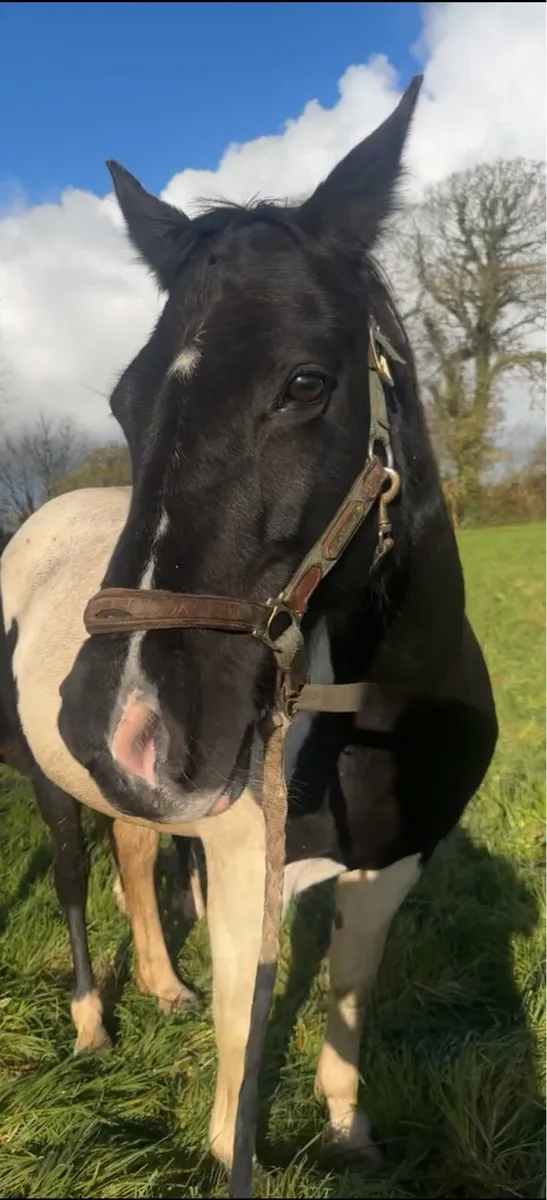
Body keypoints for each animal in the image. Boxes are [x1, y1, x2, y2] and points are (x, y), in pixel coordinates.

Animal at [0, 74, 498, 1176]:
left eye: (304, 383)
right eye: (124, 400)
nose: (110, 716)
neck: (370, 710)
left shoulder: (393, 862)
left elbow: (349, 995)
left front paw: (347, 1130)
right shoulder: (240, 868)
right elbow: (246, 1028)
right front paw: (236, 1150)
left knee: (135, 858)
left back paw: (160, 985)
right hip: (57, 794)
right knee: (75, 879)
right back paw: (94, 1024)